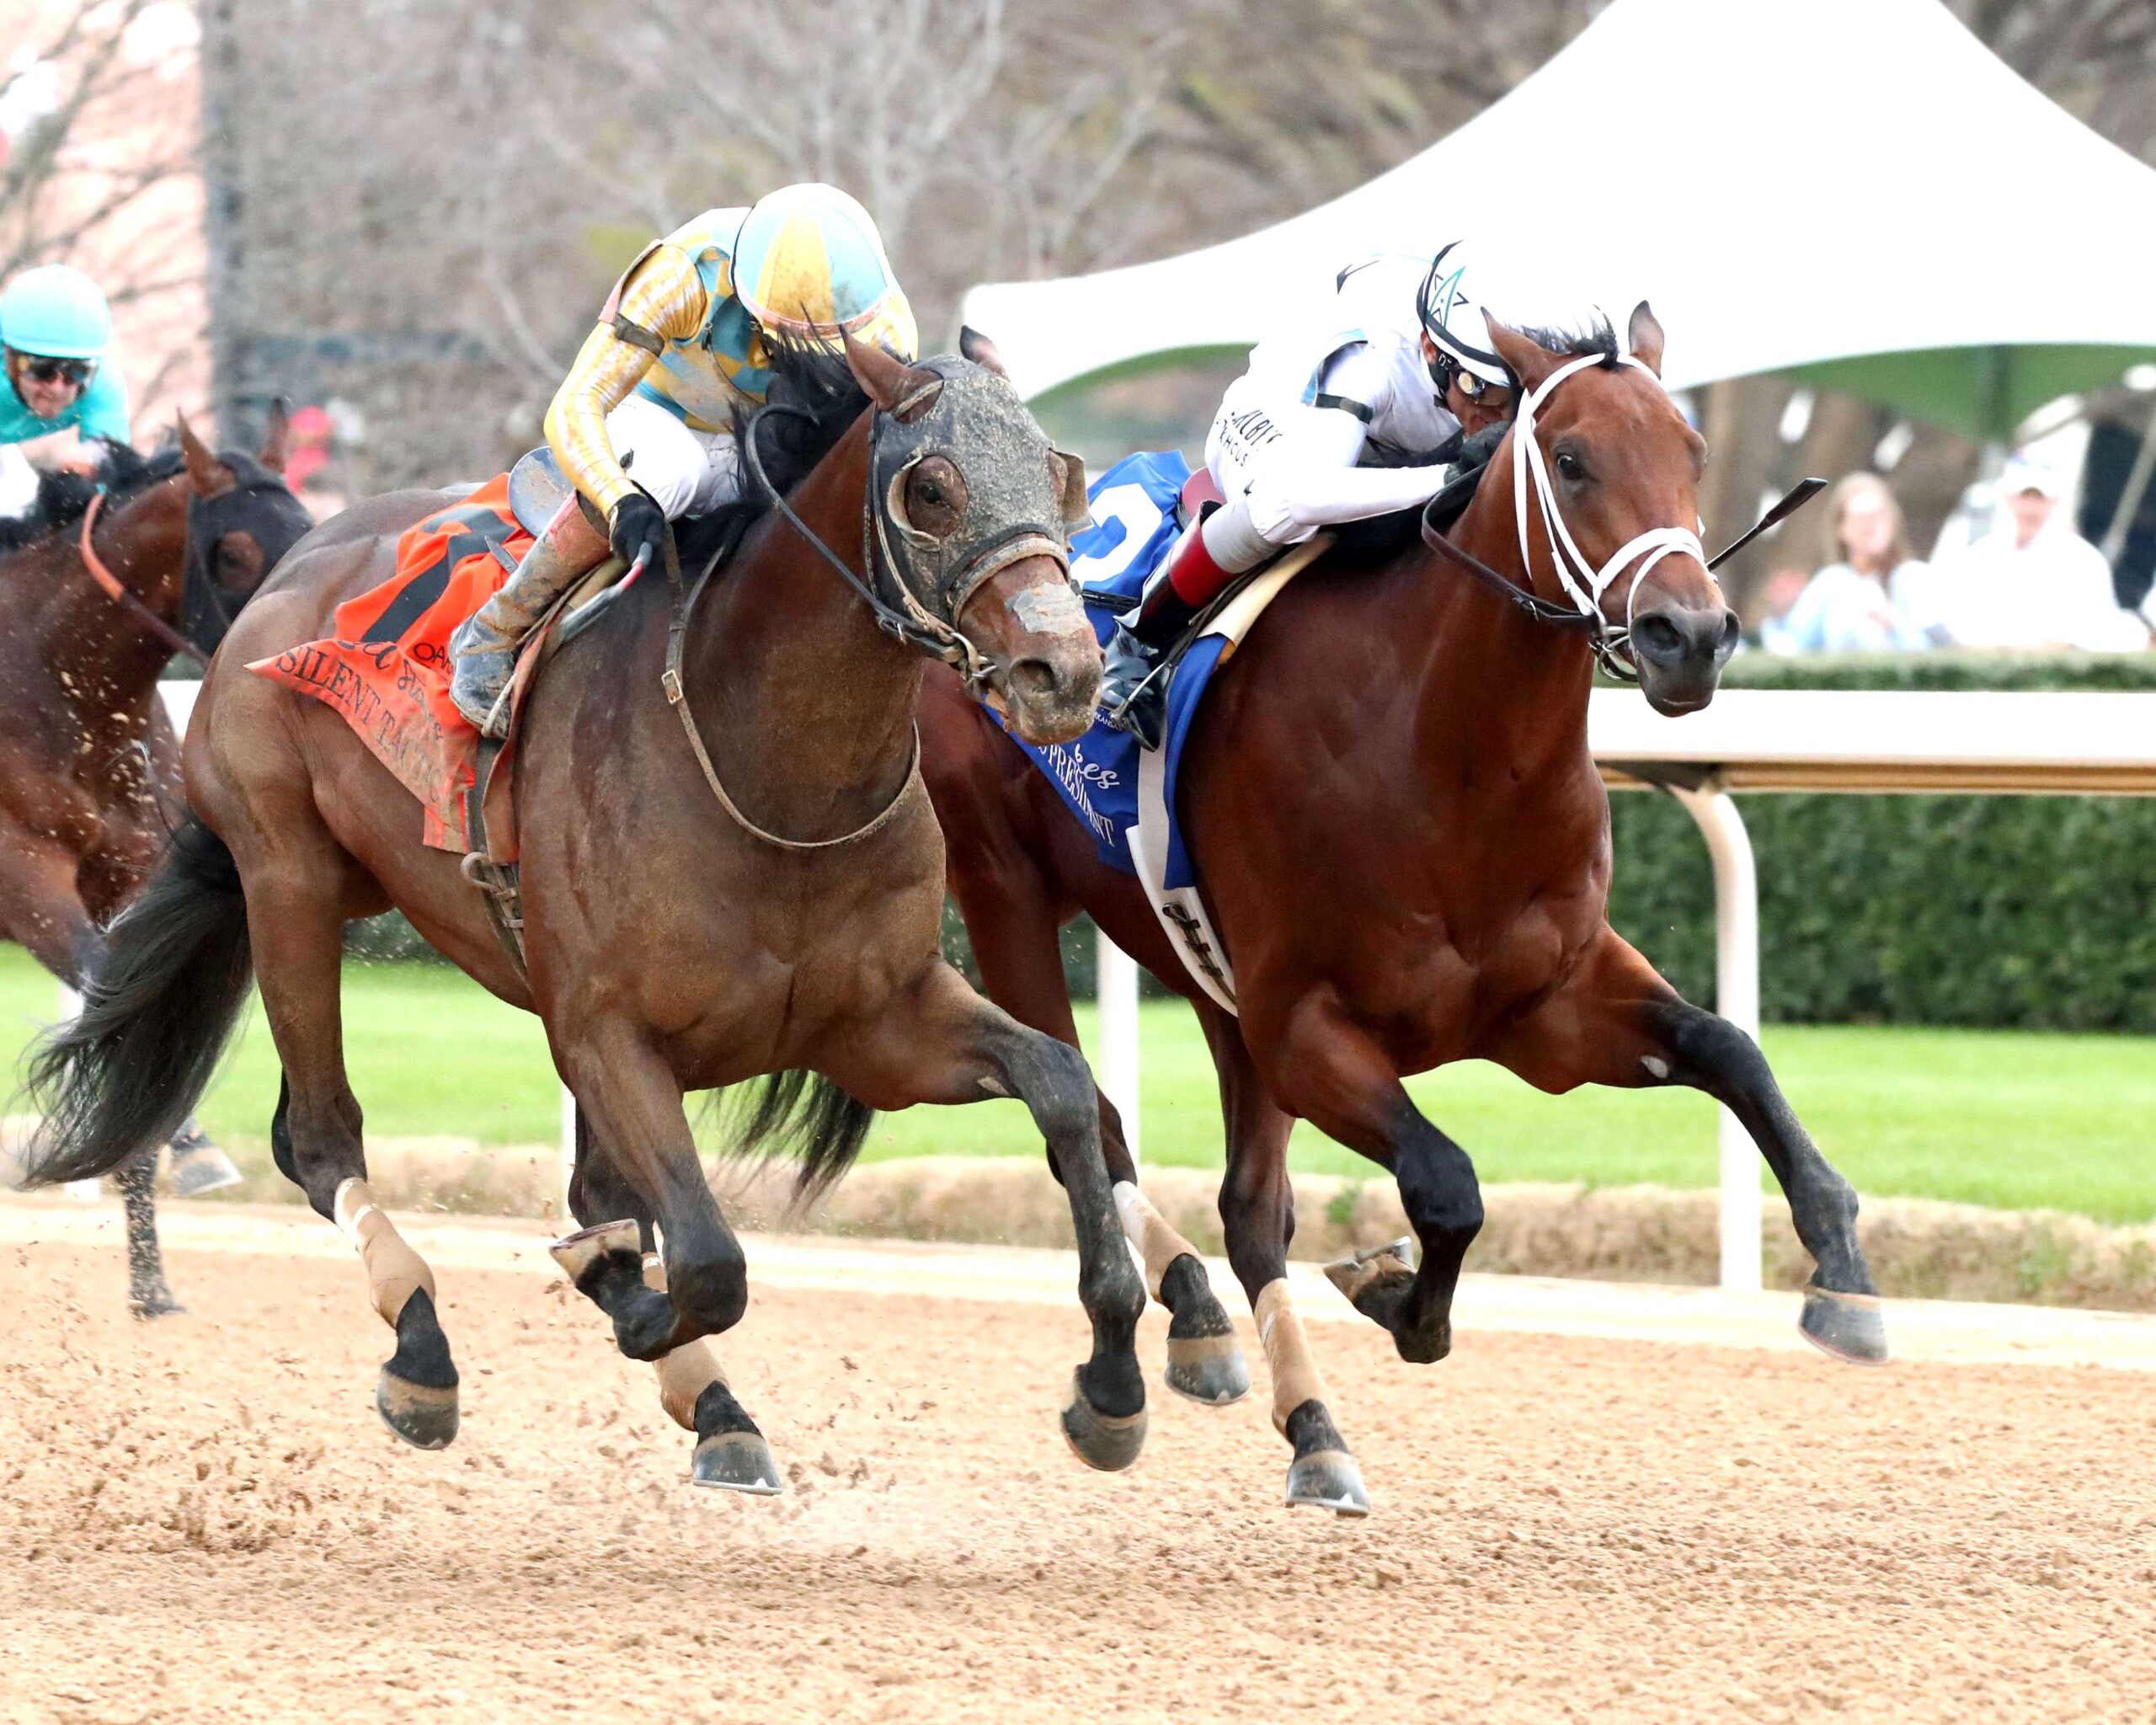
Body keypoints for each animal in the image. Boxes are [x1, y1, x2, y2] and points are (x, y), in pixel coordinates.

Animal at [0, 415, 311, 1316]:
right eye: (233, 551)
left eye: (309, 527)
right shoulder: (25, 877)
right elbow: (110, 989)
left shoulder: (130, 880)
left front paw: (151, 1281)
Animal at [920, 309, 1885, 1516]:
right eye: (1571, 459)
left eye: (1693, 453)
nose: (1690, 636)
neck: (1448, 757)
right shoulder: (1307, 1026)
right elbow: (1447, 1185)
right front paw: (1396, 1298)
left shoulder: (1544, 1010)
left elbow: (1728, 1047)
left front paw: (1843, 1271)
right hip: (1005, 894)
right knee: (1090, 1126)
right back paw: (1159, 1347)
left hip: (1209, 980)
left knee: (1246, 1204)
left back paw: (1302, 1419)